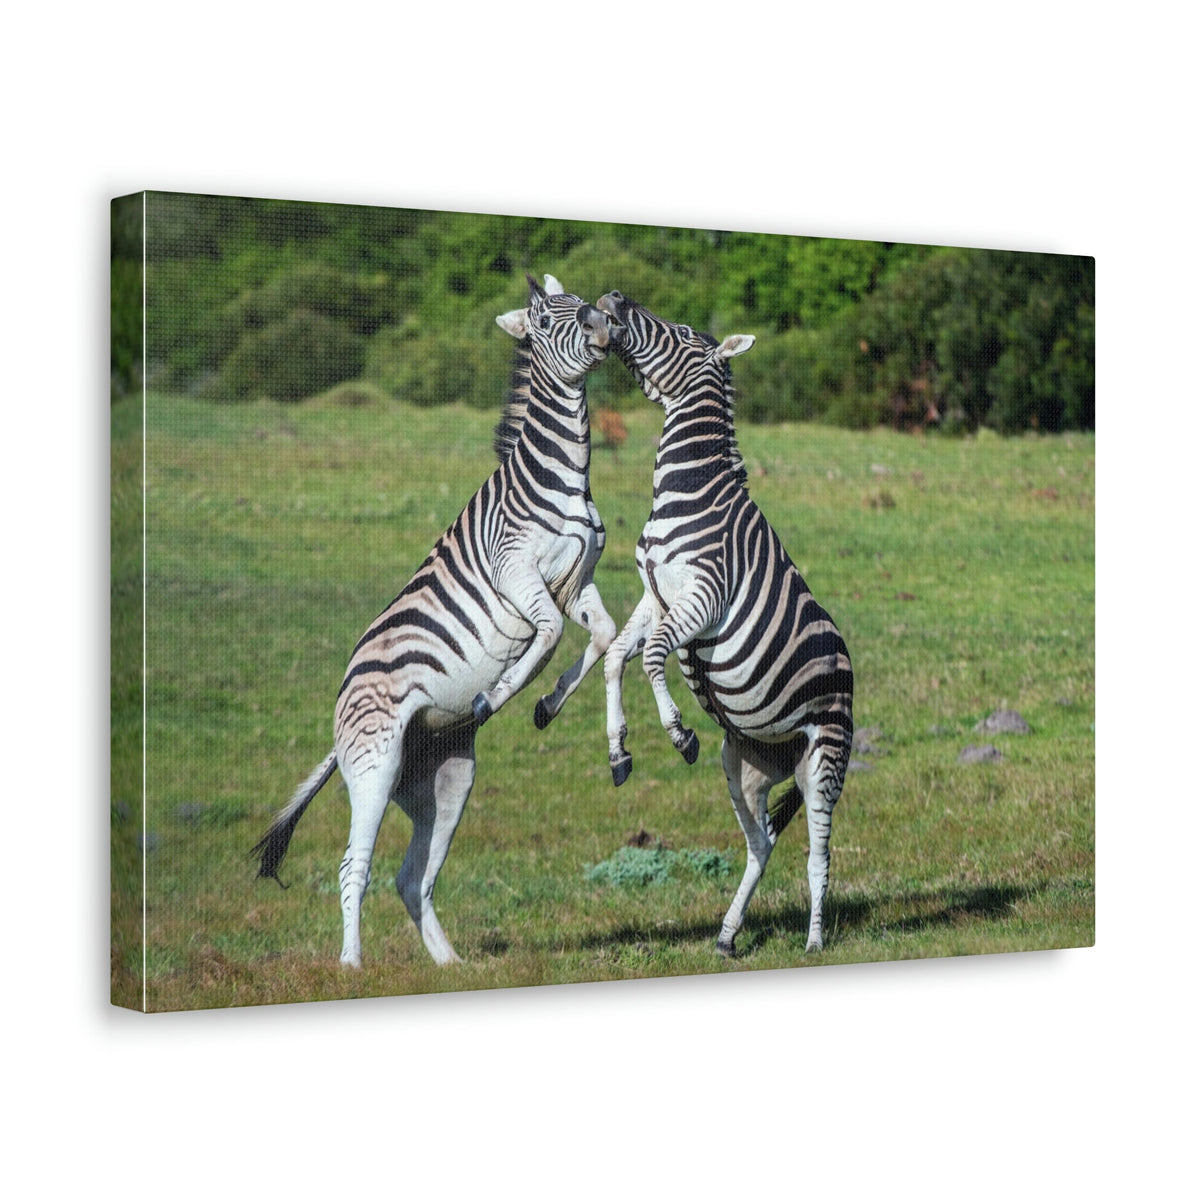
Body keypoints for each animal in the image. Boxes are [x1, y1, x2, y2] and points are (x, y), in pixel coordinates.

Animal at [252, 275, 618, 967]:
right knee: (354, 867)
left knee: (412, 875)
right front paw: (500, 692)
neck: (564, 477)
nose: (604, 320)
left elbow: (602, 637)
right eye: (547, 319)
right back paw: (351, 966)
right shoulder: (518, 575)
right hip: (375, 766)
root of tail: (340, 711)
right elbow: (550, 636)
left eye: (582, 301)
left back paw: (448, 963)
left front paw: (548, 706)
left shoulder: (575, 582)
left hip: (444, 779)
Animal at [596, 291, 853, 956]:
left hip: (826, 755)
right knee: (761, 842)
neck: (687, 486)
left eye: (684, 331)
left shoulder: (705, 597)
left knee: (819, 853)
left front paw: (677, 732)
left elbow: (653, 655)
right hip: (745, 763)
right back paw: (727, 935)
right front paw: (618, 750)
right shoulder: (654, 594)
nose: (613, 300)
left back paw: (814, 942)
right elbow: (617, 657)